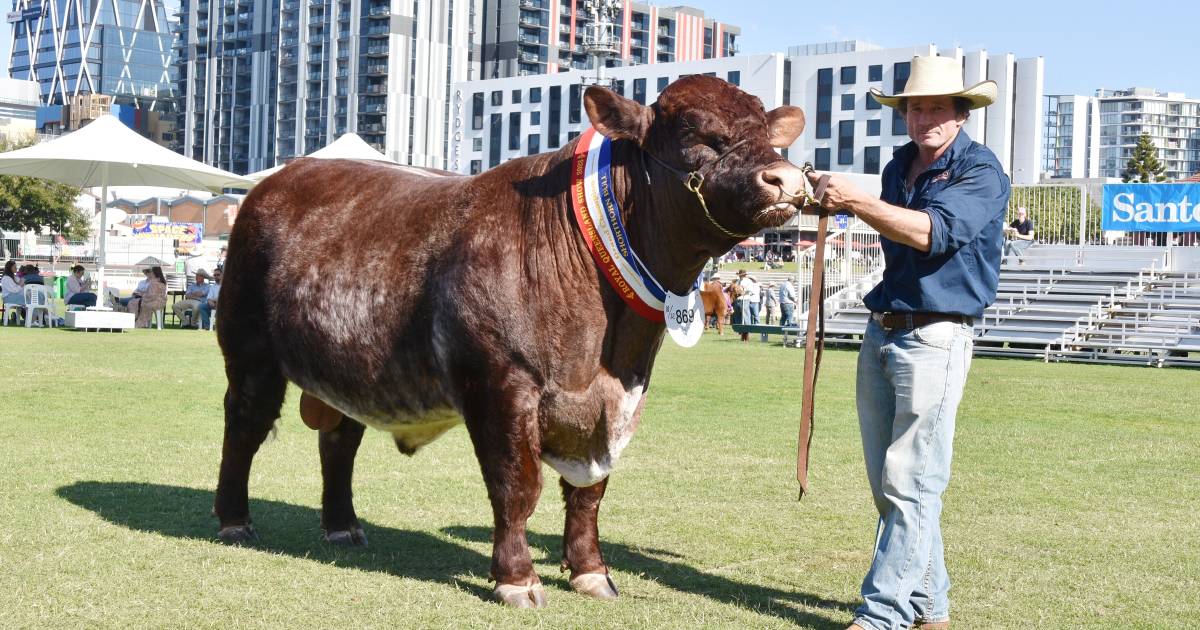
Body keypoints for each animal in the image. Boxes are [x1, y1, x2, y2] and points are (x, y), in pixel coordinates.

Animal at [216, 76, 806, 607]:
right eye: (694, 133)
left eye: (767, 132)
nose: (787, 178)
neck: (606, 351)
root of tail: (283, 178)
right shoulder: (501, 383)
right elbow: (516, 485)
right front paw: (517, 578)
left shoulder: (618, 401)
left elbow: (589, 494)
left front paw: (591, 571)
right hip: (249, 350)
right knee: (245, 426)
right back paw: (234, 520)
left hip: (347, 366)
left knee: (339, 438)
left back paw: (342, 526)